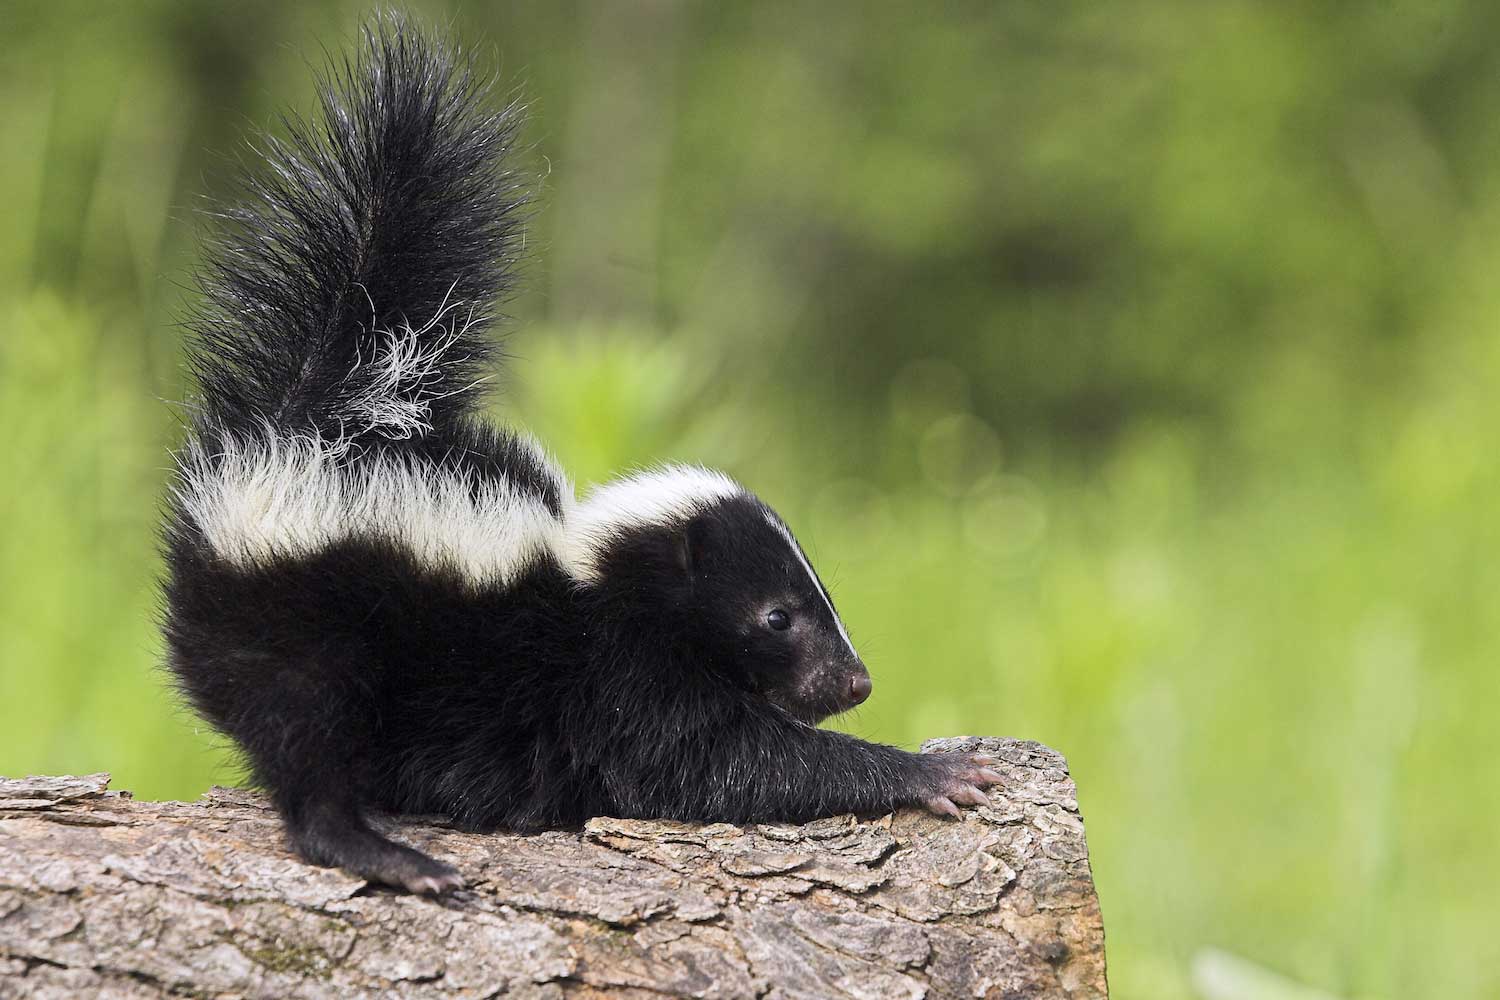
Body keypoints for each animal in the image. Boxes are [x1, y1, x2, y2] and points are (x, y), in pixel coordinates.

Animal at [164, 15, 1002, 893]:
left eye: (823, 596)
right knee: (305, 747)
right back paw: (388, 853)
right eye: (777, 616)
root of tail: (315, 421)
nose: (856, 681)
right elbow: (718, 764)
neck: (597, 580)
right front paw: (931, 773)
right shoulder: (622, 685)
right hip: (297, 632)